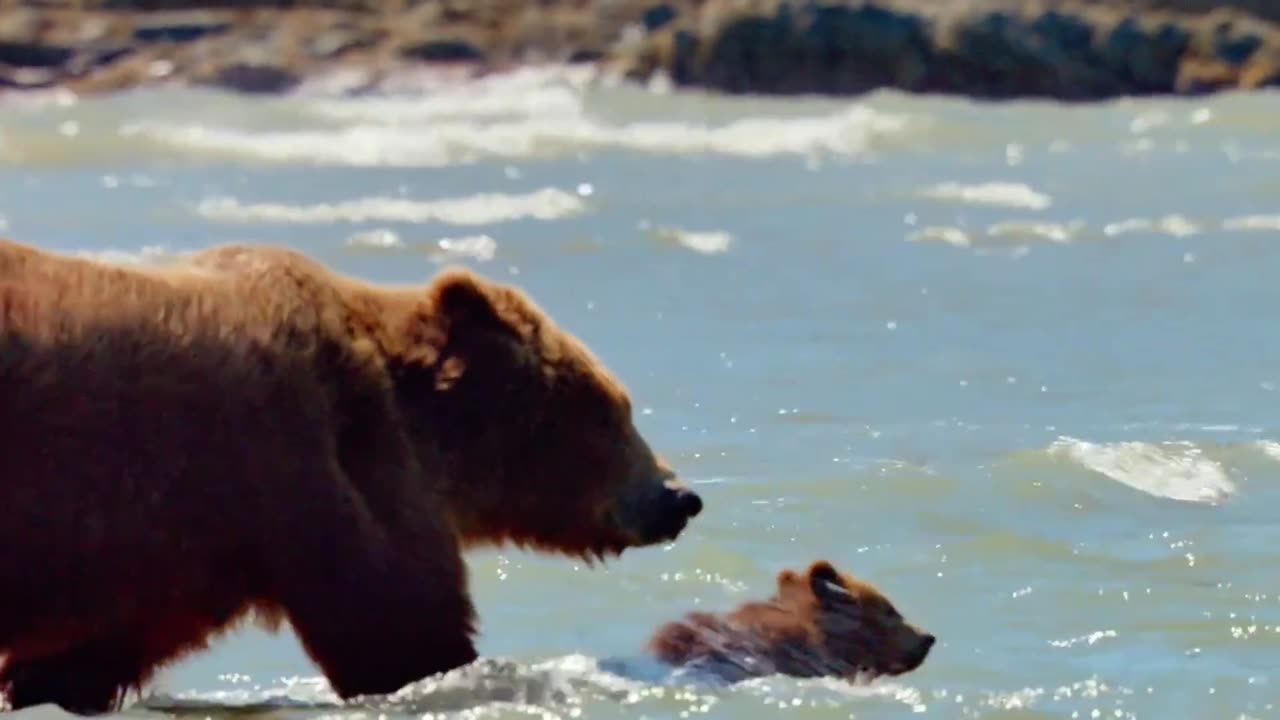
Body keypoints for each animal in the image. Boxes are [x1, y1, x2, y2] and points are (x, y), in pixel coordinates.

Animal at [0, 238, 703, 715]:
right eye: (611, 409)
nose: (678, 497)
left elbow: (93, 649)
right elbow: (398, 626)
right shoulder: (313, 466)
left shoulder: (174, 548)